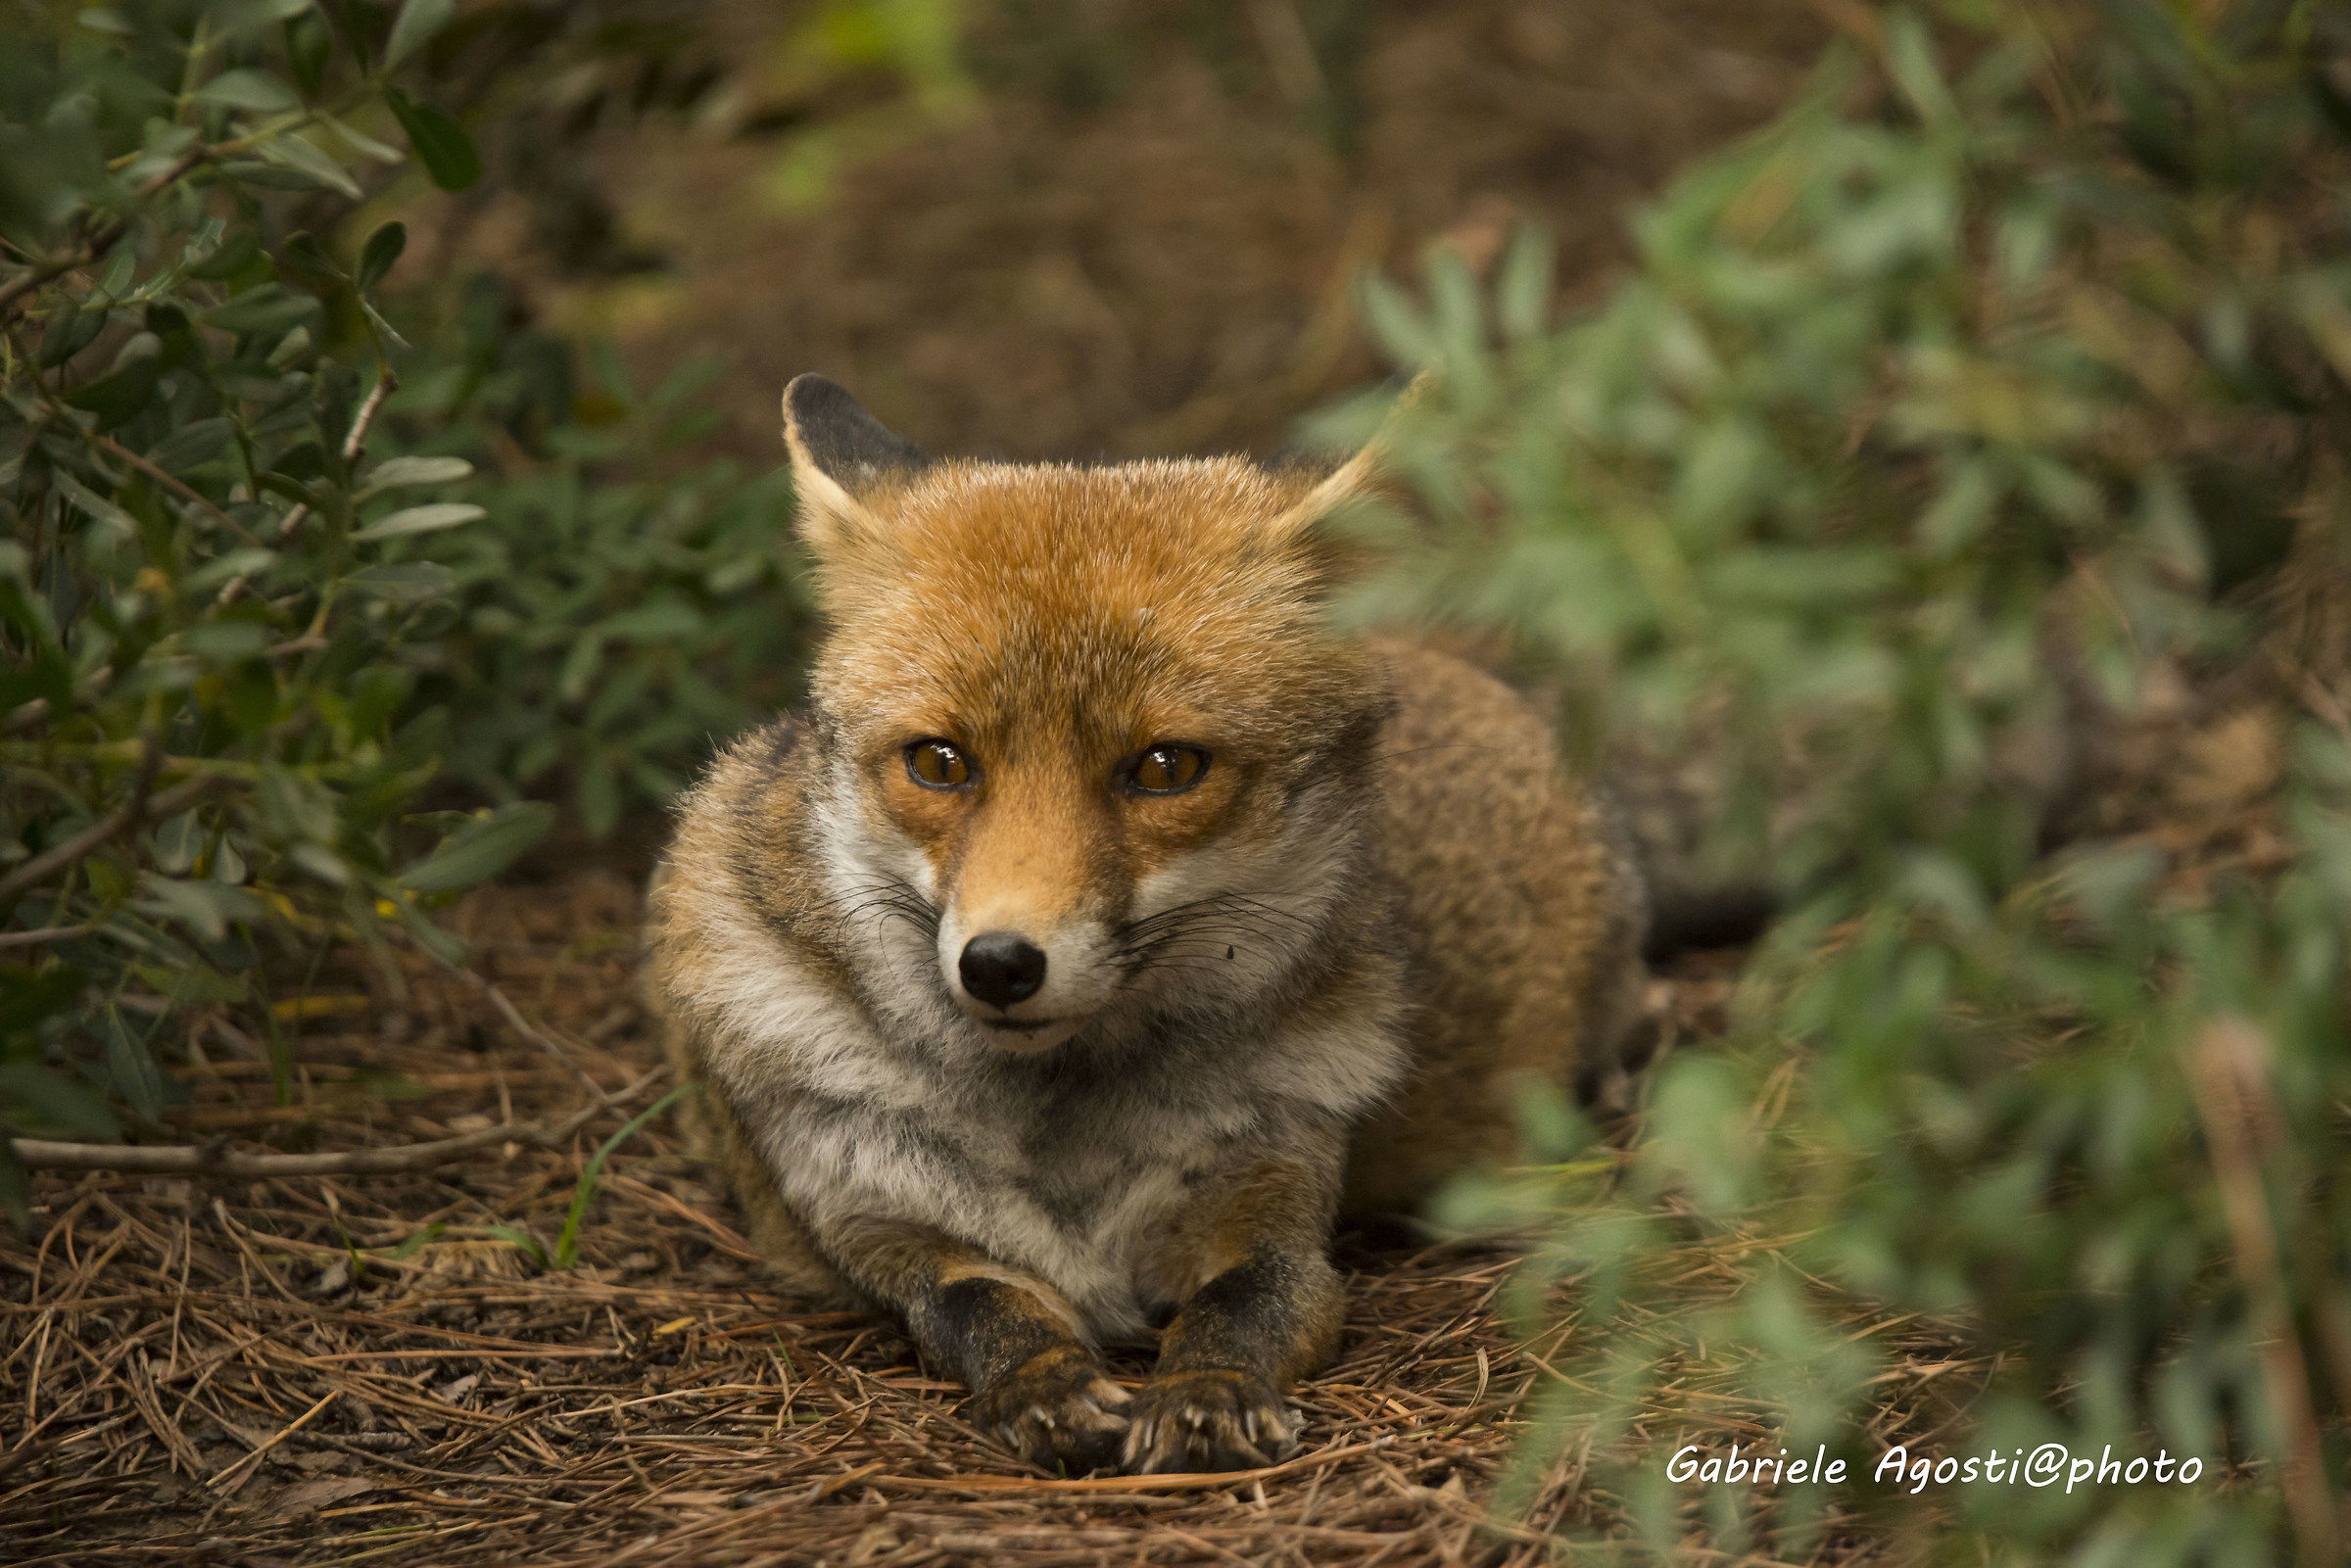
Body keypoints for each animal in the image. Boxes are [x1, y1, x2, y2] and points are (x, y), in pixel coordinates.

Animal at [644, 373, 1652, 1476]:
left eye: (1166, 767)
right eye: (939, 761)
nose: (1002, 963)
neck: (1064, 1128)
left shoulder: (1277, 1199)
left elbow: (1244, 1308)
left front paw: (1207, 1392)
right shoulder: (879, 1221)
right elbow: (980, 1310)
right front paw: (1046, 1388)